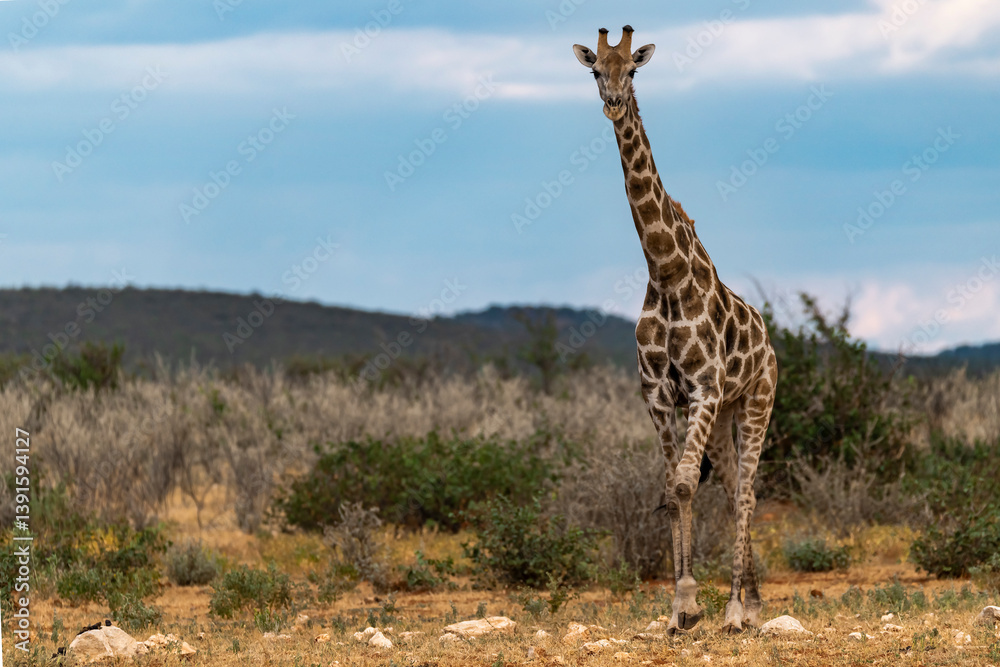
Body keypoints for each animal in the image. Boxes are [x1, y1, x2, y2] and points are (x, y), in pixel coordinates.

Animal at [573, 26, 778, 635]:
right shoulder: (660, 397)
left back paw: (738, 610)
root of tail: (770, 342)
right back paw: (750, 601)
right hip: (726, 412)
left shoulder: (704, 388)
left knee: (747, 495)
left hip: (755, 402)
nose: (613, 102)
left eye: (634, 70)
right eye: (596, 70)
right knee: (733, 490)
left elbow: (687, 483)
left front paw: (699, 602)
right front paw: (680, 607)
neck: (664, 271)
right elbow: (673, 488)